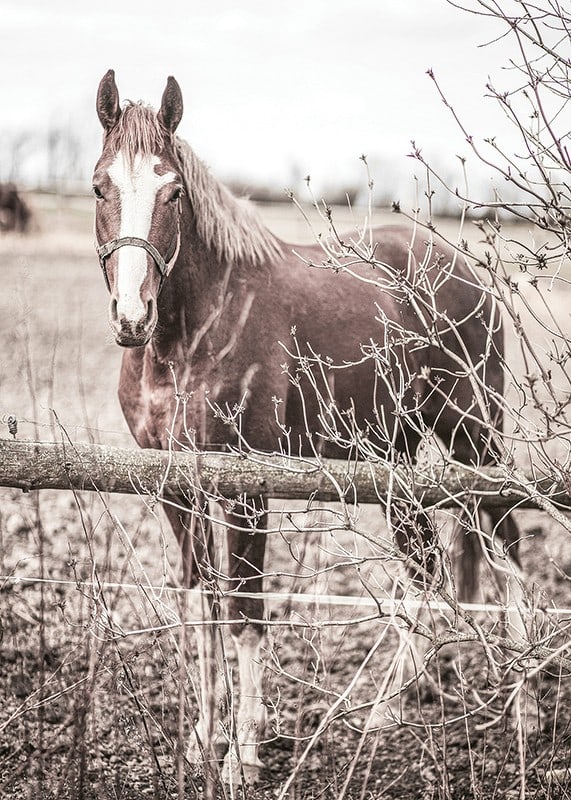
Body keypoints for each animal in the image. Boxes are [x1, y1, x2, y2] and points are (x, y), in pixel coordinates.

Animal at [93, 69, 521, 783]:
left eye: (172, 190)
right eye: (100, 185)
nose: (132, 315)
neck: (196, 328)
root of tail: (463, 268)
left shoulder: (246, 488)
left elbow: (243, 611)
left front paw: (243, 753)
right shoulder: (176, 488)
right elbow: (200, 606)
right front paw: (202, 739)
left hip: (473, 437)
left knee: (506, 546)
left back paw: (525, 707)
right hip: (396, 460)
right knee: (427, 569)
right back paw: (388, 712)